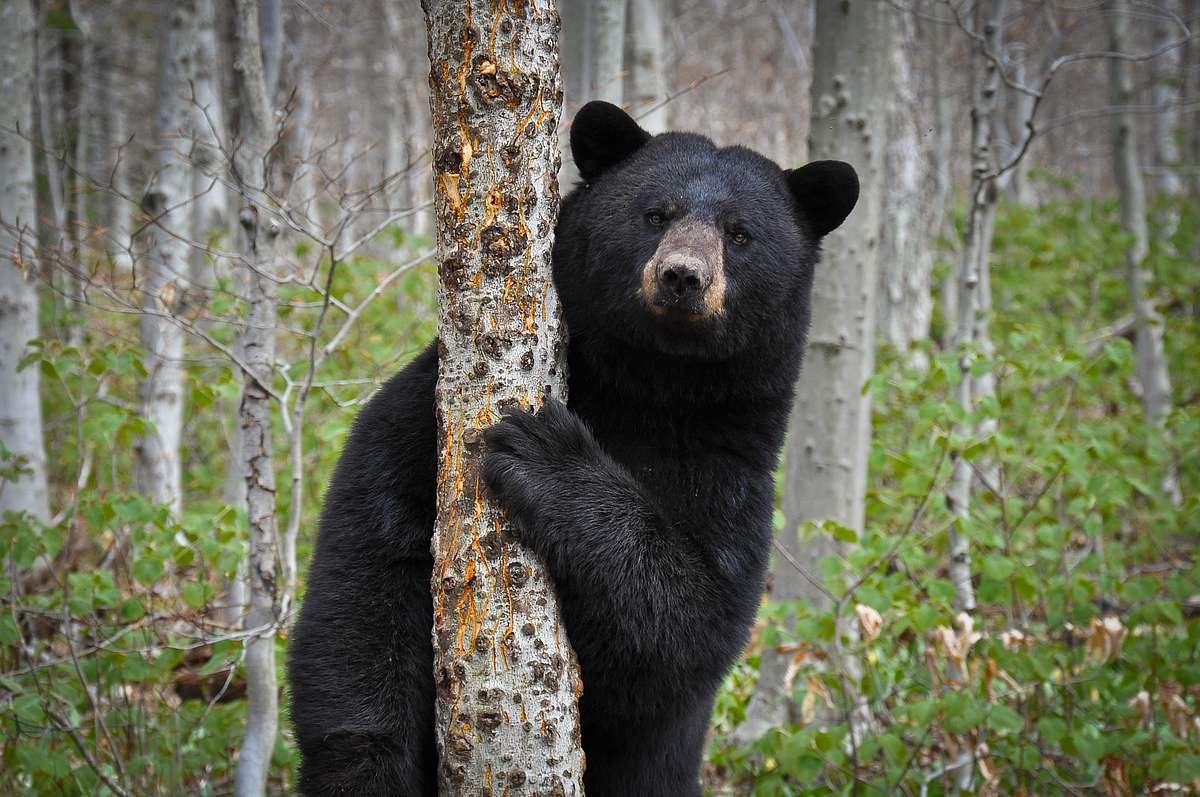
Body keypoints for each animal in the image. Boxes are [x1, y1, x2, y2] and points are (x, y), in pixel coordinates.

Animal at [288, 100, 859, 796]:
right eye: (656, 213)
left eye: (740, 233)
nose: (683, 277)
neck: (647, 386)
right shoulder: (420, 418)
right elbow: (368, 578)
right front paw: (367, 771)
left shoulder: (731, 476)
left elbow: (687, 632)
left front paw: (546, 453)